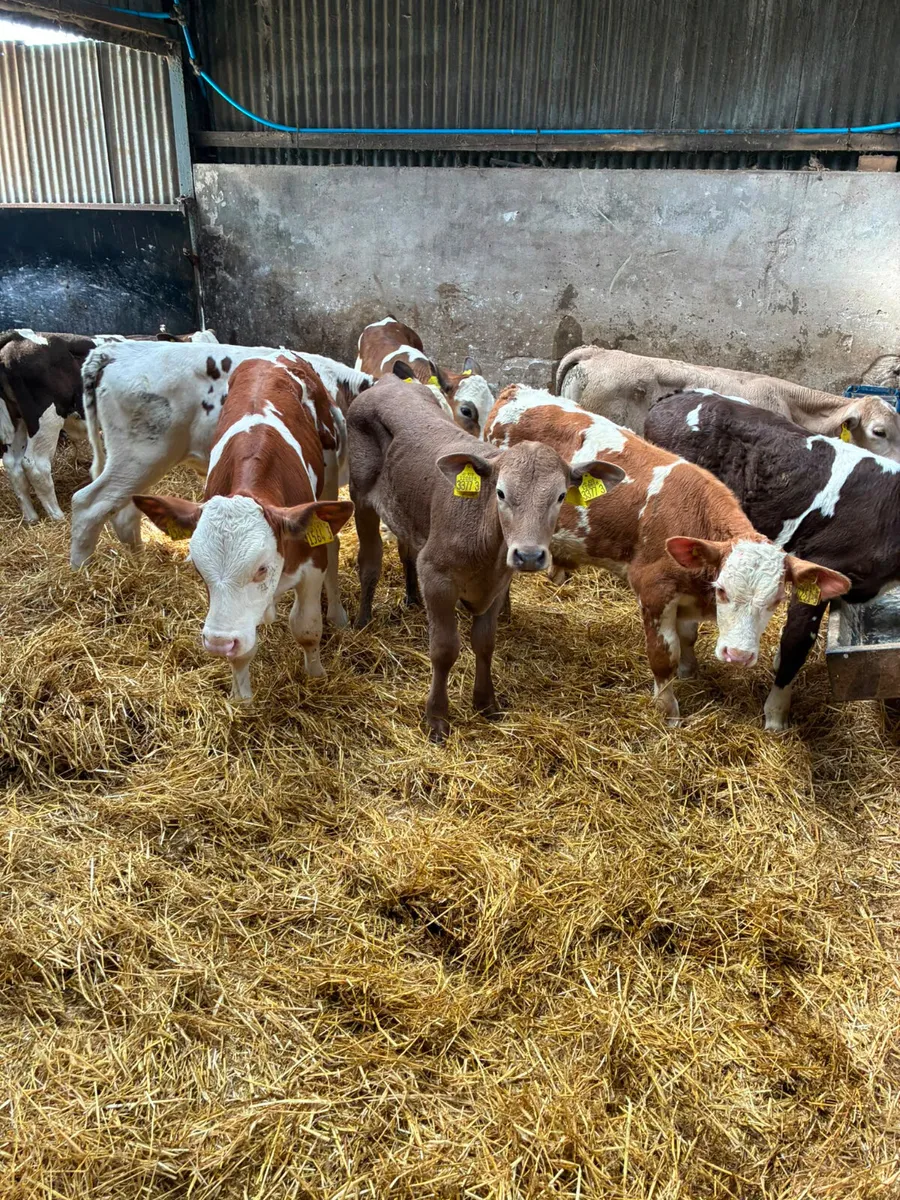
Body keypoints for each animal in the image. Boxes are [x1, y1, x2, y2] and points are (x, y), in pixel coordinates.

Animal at [1, 328, 219, 523]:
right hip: (47, 419)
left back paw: (31, 516)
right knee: (35, 465)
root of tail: (18, 335)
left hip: (15, 422)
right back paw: (57, 516)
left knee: (13, 464)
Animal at [131, 358, 353, 699]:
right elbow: (243, 649)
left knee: (333, 544)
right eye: (198, 568)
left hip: (329, 479)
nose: (218, 643)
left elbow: (306, 627)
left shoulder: (310, 560)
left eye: (261, 568)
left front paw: (316, 676)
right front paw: (241, 699)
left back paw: (338, 614)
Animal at [348, 374, 625, 742]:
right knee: (370, 561)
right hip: (360, 495)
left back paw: (412, 597)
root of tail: (390, 380)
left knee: (407, 550)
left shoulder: (497, 584)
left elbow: (484, 643)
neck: (487, 546)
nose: (529, 555)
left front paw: (485, 702)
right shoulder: (436, 575)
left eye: (560, 496)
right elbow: (444, 649)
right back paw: (363, 620)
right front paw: (437, 717)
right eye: (501, 493)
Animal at [485, 386, 849, 724]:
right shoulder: (653, 590)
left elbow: (688, 637)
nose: (738, 655)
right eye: (723, 591)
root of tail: (517, 390)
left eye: (776, 601)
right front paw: (669, 711)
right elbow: (664, 654)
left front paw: (690, 670)